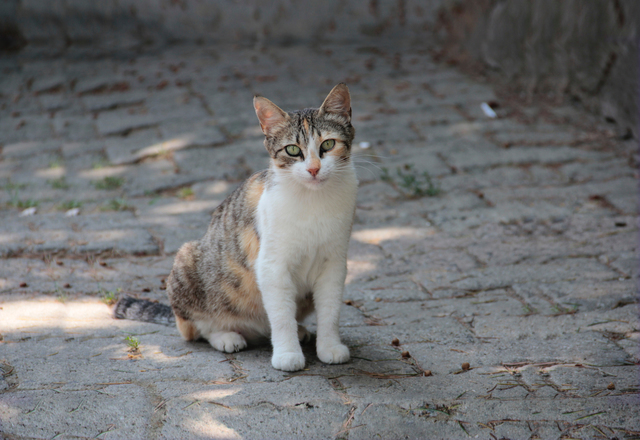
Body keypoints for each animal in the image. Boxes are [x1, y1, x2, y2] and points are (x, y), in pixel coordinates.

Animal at [115, 83, 356, 372]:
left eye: (328, 144)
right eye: (292, 150)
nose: (313, 169)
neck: (313, 201)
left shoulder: (334, 263)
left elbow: (330, 311)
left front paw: (329, 346)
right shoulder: (272, 266)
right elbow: (281, 316)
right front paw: (287, 354)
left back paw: (299, 331)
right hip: (187, 262)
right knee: (195, 328)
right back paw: (227, 336)